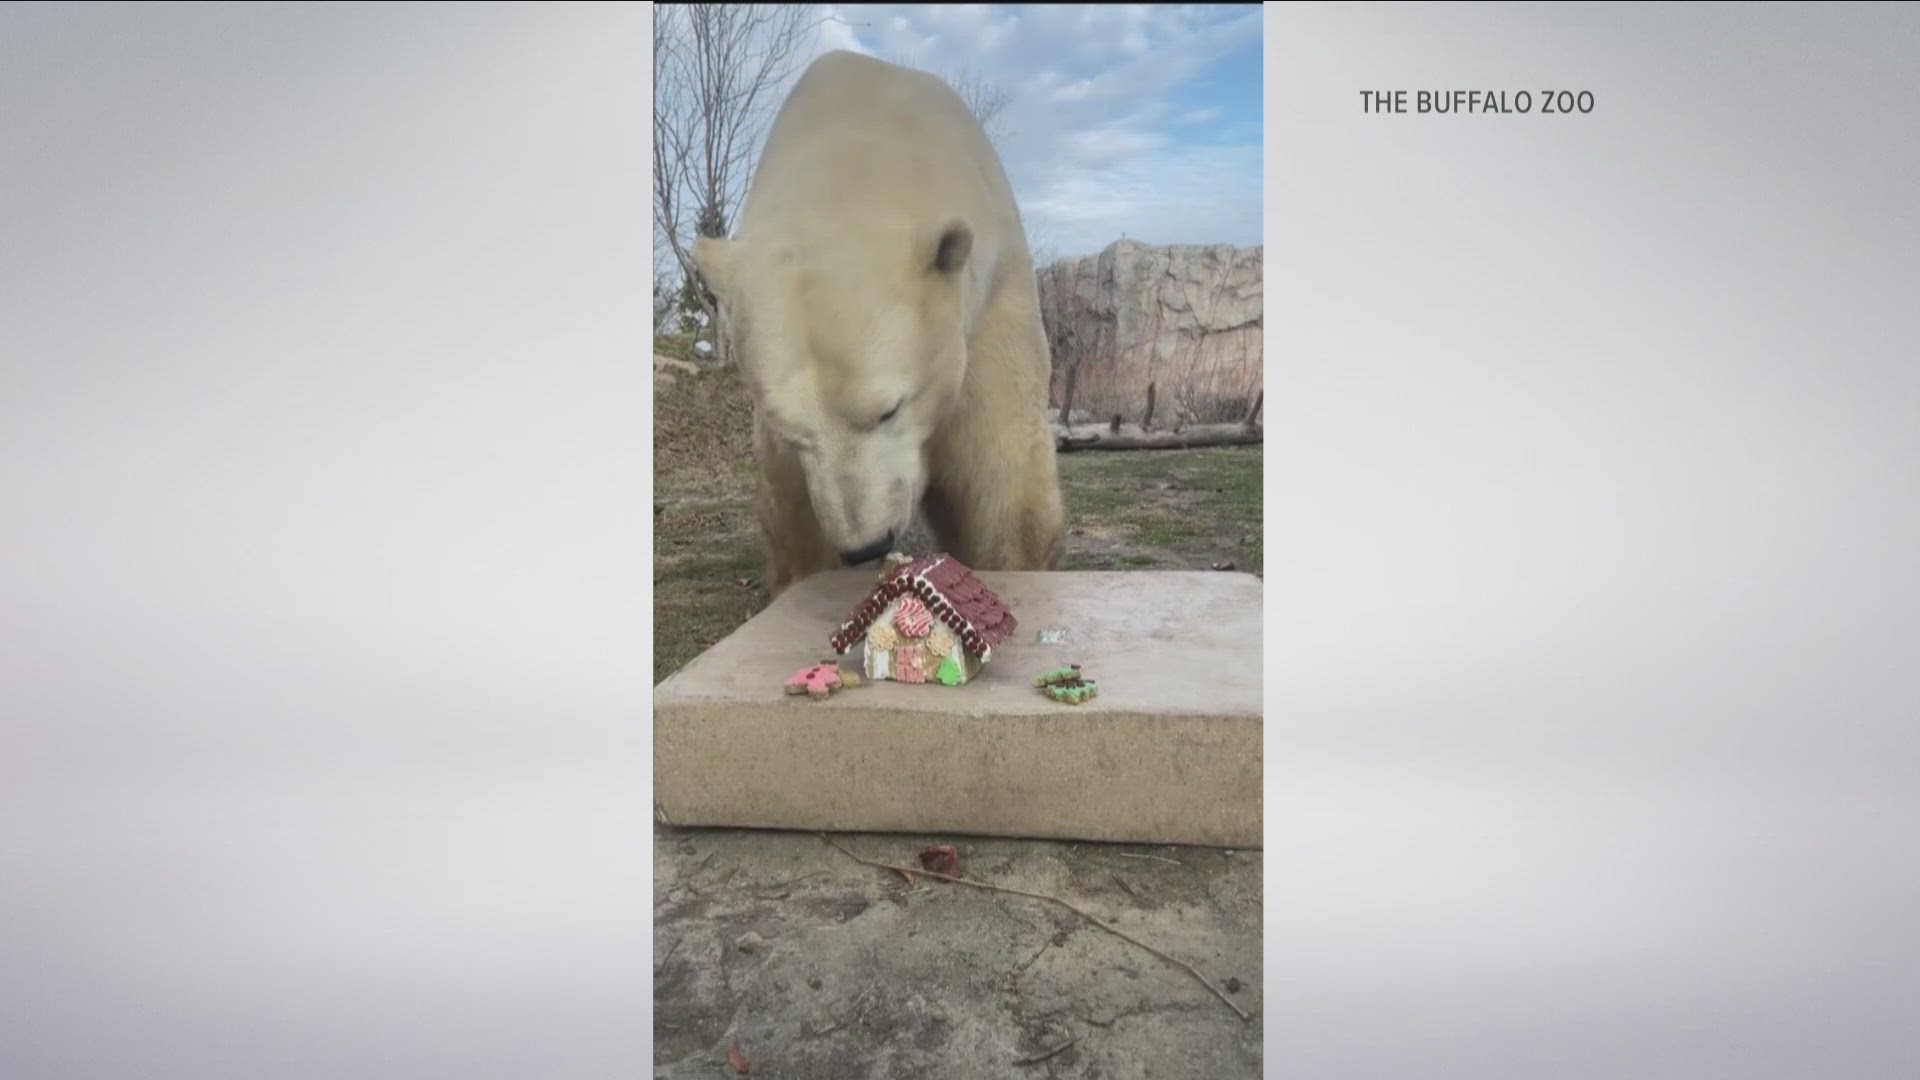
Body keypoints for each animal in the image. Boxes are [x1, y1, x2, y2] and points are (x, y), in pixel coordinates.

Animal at [691, 50, 1067, 591]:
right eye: (792, 432)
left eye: (889, 409)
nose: (865, 545)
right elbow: (793, 514)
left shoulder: (991, 291)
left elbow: (1000, 468)